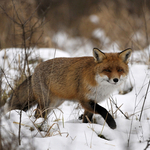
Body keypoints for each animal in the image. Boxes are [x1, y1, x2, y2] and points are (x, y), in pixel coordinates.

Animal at [4, 48, 132, 129]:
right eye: (108, 70)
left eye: (120, 70)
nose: (115, 79)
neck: (100, 86)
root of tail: (35, 70)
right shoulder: (85, 100)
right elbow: (104, 110)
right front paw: (112, 123)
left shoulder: (92, 102)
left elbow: (87, 119)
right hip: (46, 102)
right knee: (37, 115)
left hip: (54, 104)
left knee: (37, 115)